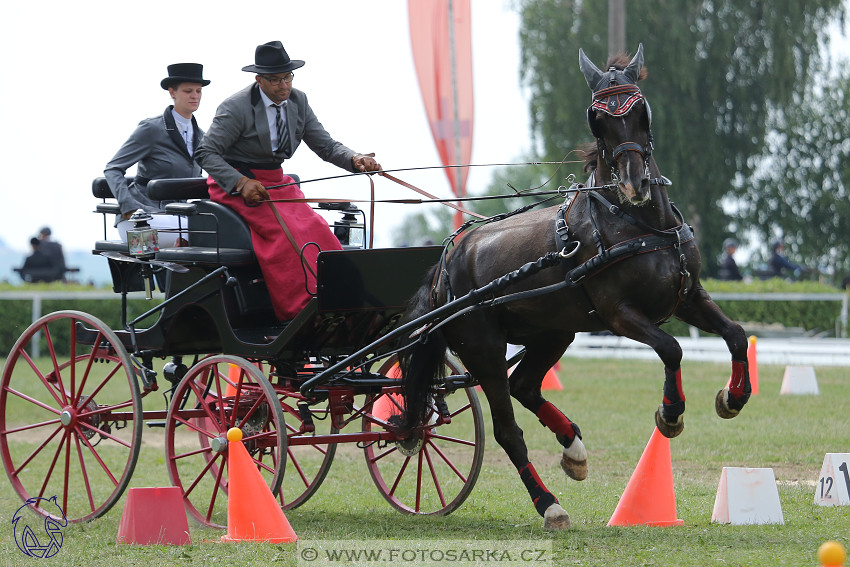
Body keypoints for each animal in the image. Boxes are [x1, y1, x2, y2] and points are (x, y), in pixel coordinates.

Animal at [398, 44, 748, 532]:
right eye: (597, 120)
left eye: (640, 110)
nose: (633, 183)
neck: (636, 223)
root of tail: (447, 262)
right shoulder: (620, 314)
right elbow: (672, 348)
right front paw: (670, 414)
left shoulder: (687, 296)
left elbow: (735, 334)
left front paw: (732, 398)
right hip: (484, 348)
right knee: (508, 428)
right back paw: (549, 504)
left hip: (553, 331)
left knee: (525, 385)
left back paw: (574, 450)